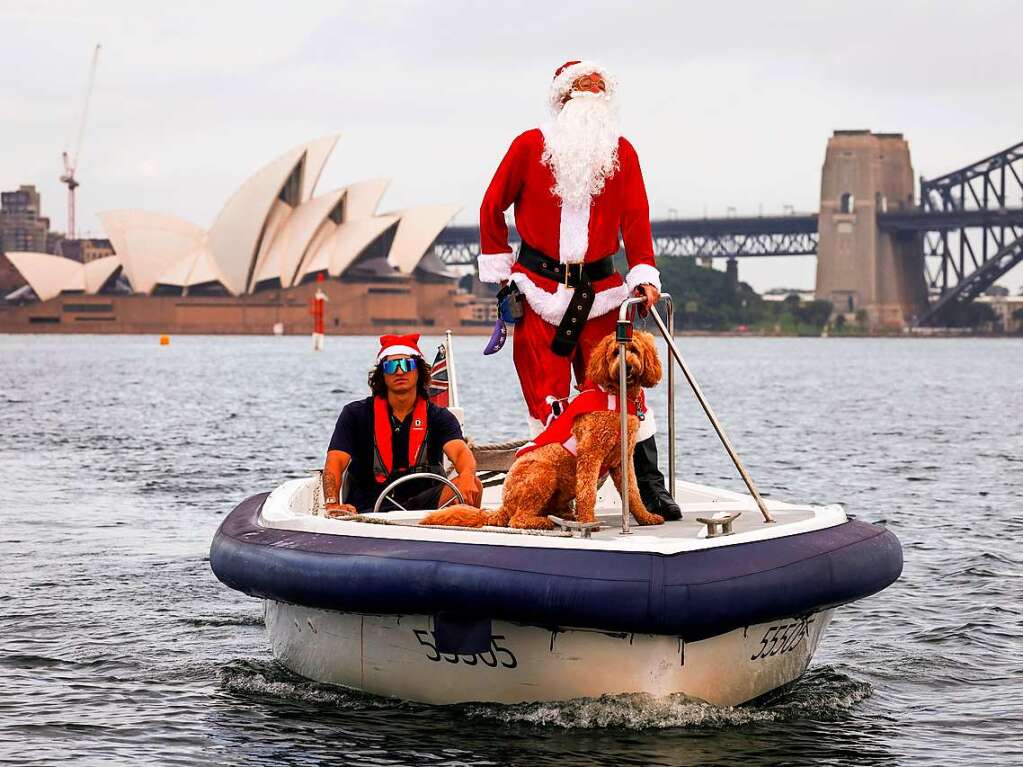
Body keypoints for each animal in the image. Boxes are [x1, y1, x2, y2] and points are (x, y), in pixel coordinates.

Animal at [421, 333, 666, 531]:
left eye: (634, 350)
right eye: (615, 352)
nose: (627, 366)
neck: (616, 395)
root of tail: (503, 507)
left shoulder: (622, 460)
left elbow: (632, 492)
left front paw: (646, 517)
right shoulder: (590, 454)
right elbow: (587, 492)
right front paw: (588, 522)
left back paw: (564, 516)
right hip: (542, 473)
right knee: (518, 519)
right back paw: (545, 521)